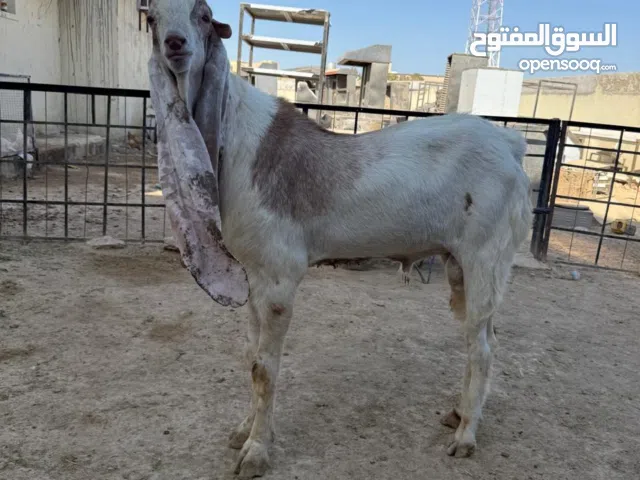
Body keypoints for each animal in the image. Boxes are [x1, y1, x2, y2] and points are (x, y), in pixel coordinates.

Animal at [146, 1, 533, 477]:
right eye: (151, 18)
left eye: (202, 15)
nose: (175, 43)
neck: (237, 142)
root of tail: (510, 144)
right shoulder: (253, 275)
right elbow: (250, 356)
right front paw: (243, 430)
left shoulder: (279, 276)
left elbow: (263, 369)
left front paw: (256, 450)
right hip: (458, 264)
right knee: (477, 338)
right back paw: (458, 413)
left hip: (487, 257)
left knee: (483, 350)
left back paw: (465, 437)